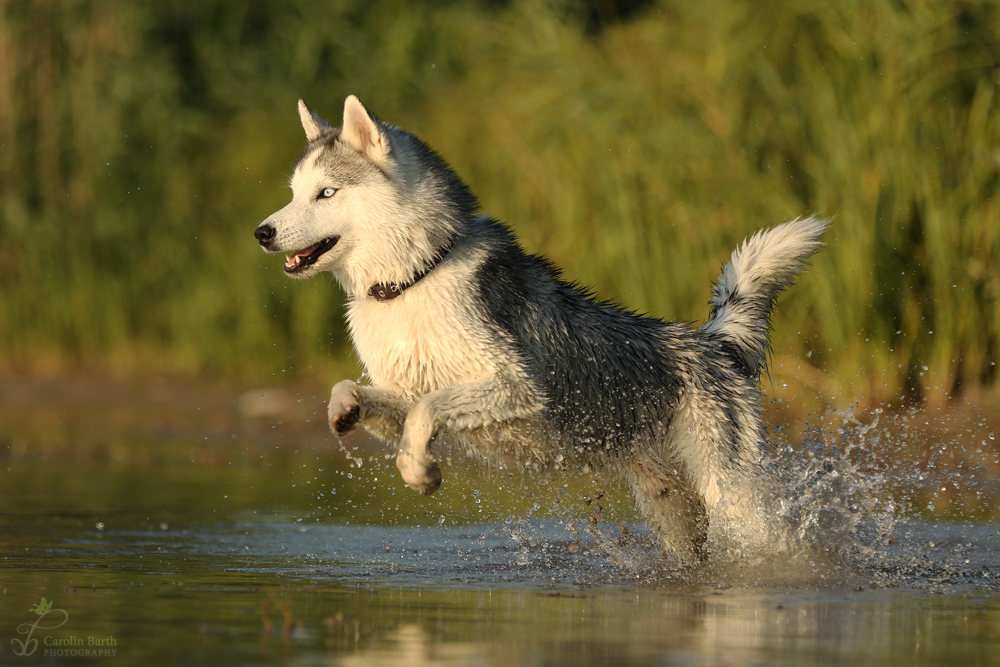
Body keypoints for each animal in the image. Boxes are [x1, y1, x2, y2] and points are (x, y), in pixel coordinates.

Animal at [256, 95, 828, 564]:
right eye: (293, 193)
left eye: (326, 193)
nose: (261, 232)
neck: (416, 276)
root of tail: (712, 341)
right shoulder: (401, 389)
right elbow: (351, 390)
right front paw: (350, 417)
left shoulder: (517, 388)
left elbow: (428, 410)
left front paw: (421, 473)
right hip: (672, 510)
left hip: (730, 498)